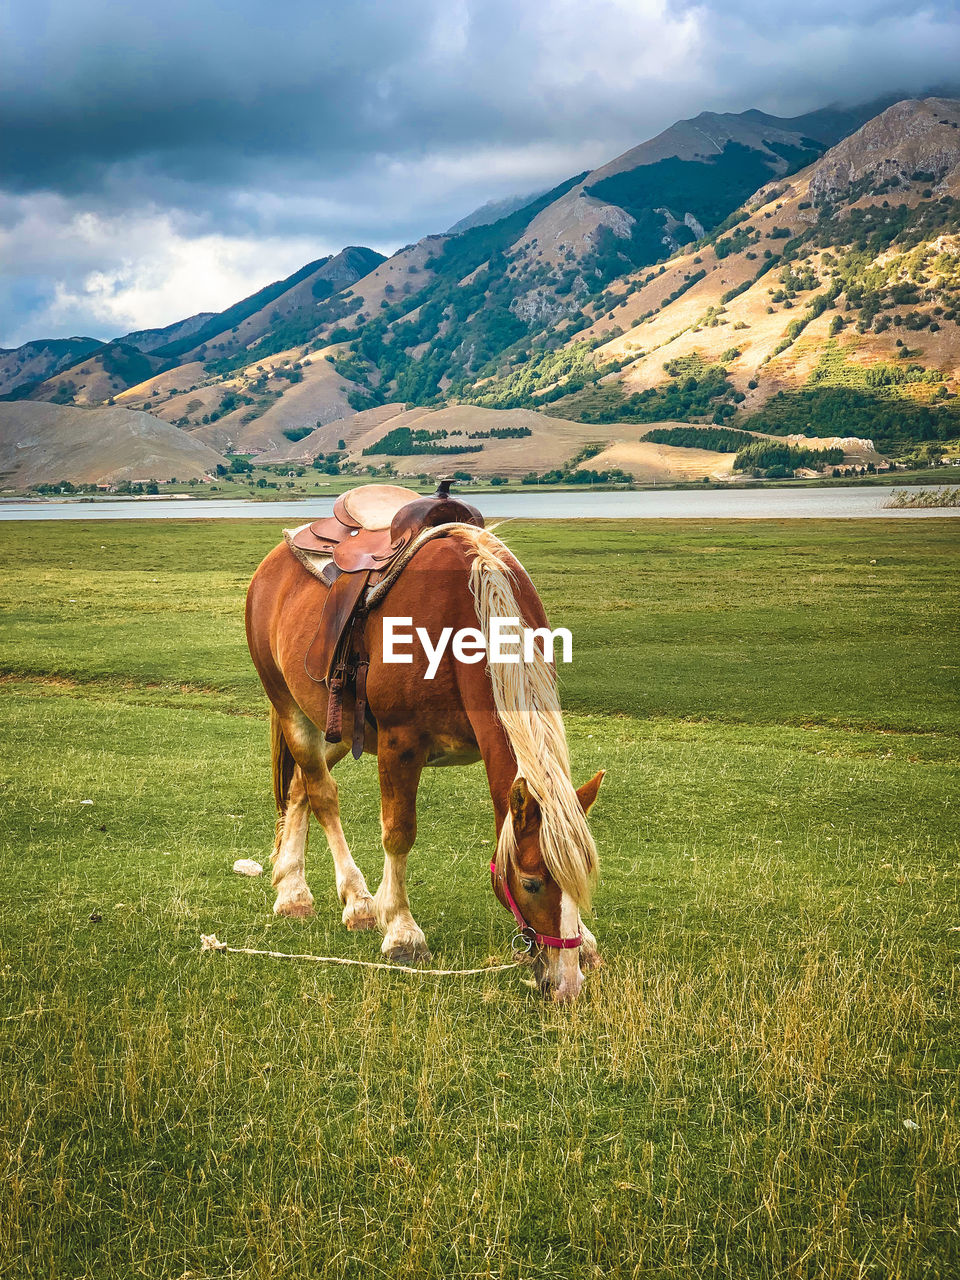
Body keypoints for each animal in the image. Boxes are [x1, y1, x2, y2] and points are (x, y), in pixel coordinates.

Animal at [244, 509, 604, 998]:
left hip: (338, 728)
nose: (565, 985)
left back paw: (291, 889)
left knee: (301, 786)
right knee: (322, 793)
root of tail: (274, 561)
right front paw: (401, 932)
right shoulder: (400, 744)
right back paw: (352, 900)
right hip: (291, 709)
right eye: (530, 883)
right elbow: (399, 833)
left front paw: (584, 941)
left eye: (583, 876)